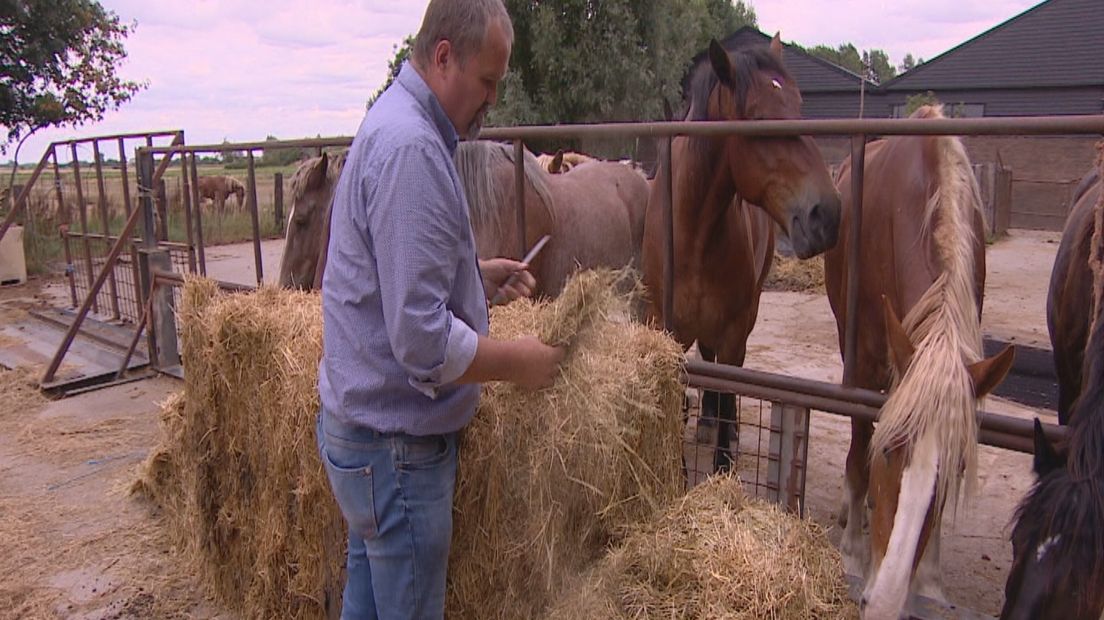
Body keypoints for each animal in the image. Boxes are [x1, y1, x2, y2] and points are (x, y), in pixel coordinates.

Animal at [644, 33, 839, 467]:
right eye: (759, 118)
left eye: (800, 107)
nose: (827, 214)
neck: (693, 232)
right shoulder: (669, 329)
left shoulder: (734, 330)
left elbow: (729, 390)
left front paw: (724, 461)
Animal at [825, 104, 1011, 613]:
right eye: (890, 448)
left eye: (958, 468)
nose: (885, 602)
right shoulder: (865, 361)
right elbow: (859, 449)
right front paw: (853, 553)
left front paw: (928, 579)